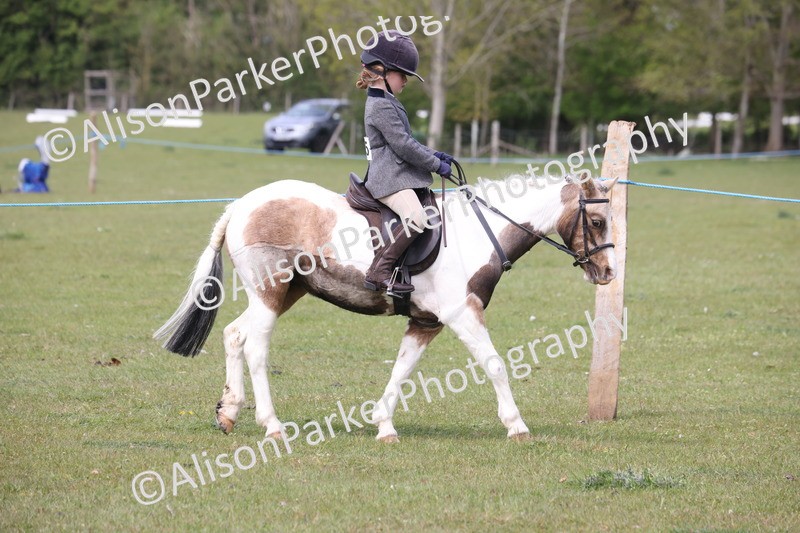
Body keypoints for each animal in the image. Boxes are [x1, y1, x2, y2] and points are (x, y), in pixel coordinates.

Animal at [154, 170, 618, 443]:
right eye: (597, 222)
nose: (608, 273)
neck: (477, 233)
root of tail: (241, 206)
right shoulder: (462, 314)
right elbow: (494, 364)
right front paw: (517, 425)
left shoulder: (427, 323)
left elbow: (402, 369)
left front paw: (384, 426)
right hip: (271, 291)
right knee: (256, 347)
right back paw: (272, 425)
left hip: (288, 292)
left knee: (235, 334)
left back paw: (229, 413)